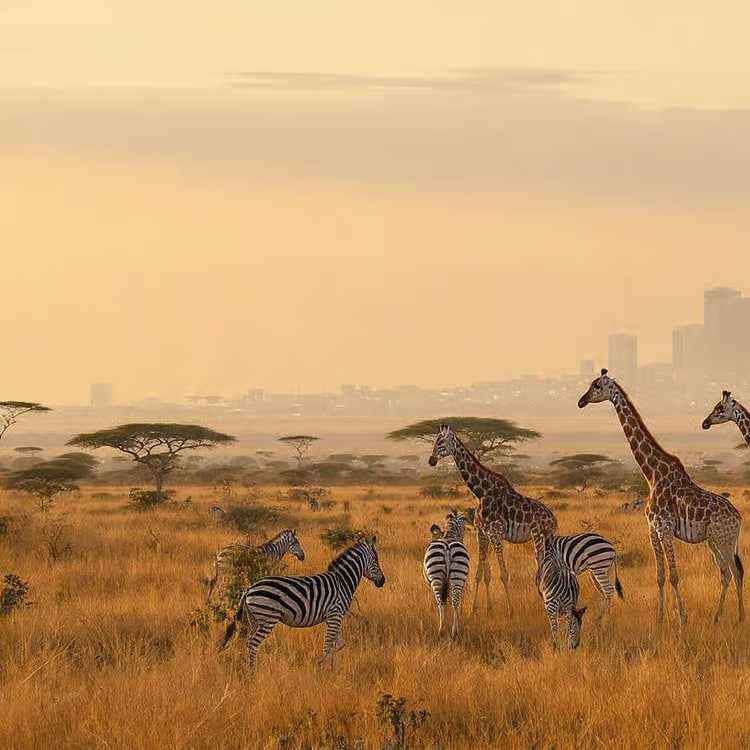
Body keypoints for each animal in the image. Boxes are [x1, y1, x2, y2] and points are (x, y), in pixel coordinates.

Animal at [218, 536, 385, 668]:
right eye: (376, 560)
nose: (383, 581)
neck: (342, 581)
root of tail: (249, 589)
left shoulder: (332, 617)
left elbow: (337, 644)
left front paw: (333, 669)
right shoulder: (335, 614)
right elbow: (328, 645)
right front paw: (322, 668)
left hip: (253, 619)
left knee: (243, 641)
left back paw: (243, 666)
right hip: (267, 618)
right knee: (252, 643)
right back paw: (252, 672)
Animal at [428, 424, 557, 615]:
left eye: (441, 442)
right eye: (436, 440)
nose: (431, 460)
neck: (481, 493)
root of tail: (553, 518)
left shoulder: (496, 535)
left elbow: (503, 574)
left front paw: (511, 610)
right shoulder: (482, 534)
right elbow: (481, 574)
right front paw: (477, 608)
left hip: (540, 536)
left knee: (543, 563)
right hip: (542, 537)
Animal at [579, 369, 744, 625]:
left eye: (597, 386)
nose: (581, 401)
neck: (652, 474)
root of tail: (739, 518)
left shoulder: (664, 527)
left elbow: (674, 575)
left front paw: (682, 619)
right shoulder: (652, 528)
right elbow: (660, 575)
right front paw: (659, 618)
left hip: (723, 540)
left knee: (734, 572)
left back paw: (738, 617)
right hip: (715, 541)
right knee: (729, 572)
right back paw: (726, 617)